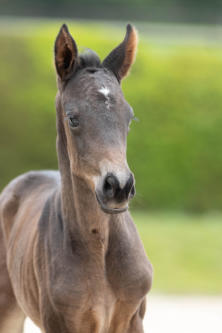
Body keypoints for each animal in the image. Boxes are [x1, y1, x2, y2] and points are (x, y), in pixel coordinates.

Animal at [0, 24, 153, 332]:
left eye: (129, 118)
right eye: (73, 118)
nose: (119, 186)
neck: (100, 249)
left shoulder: (134, 318)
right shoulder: (60, 322)